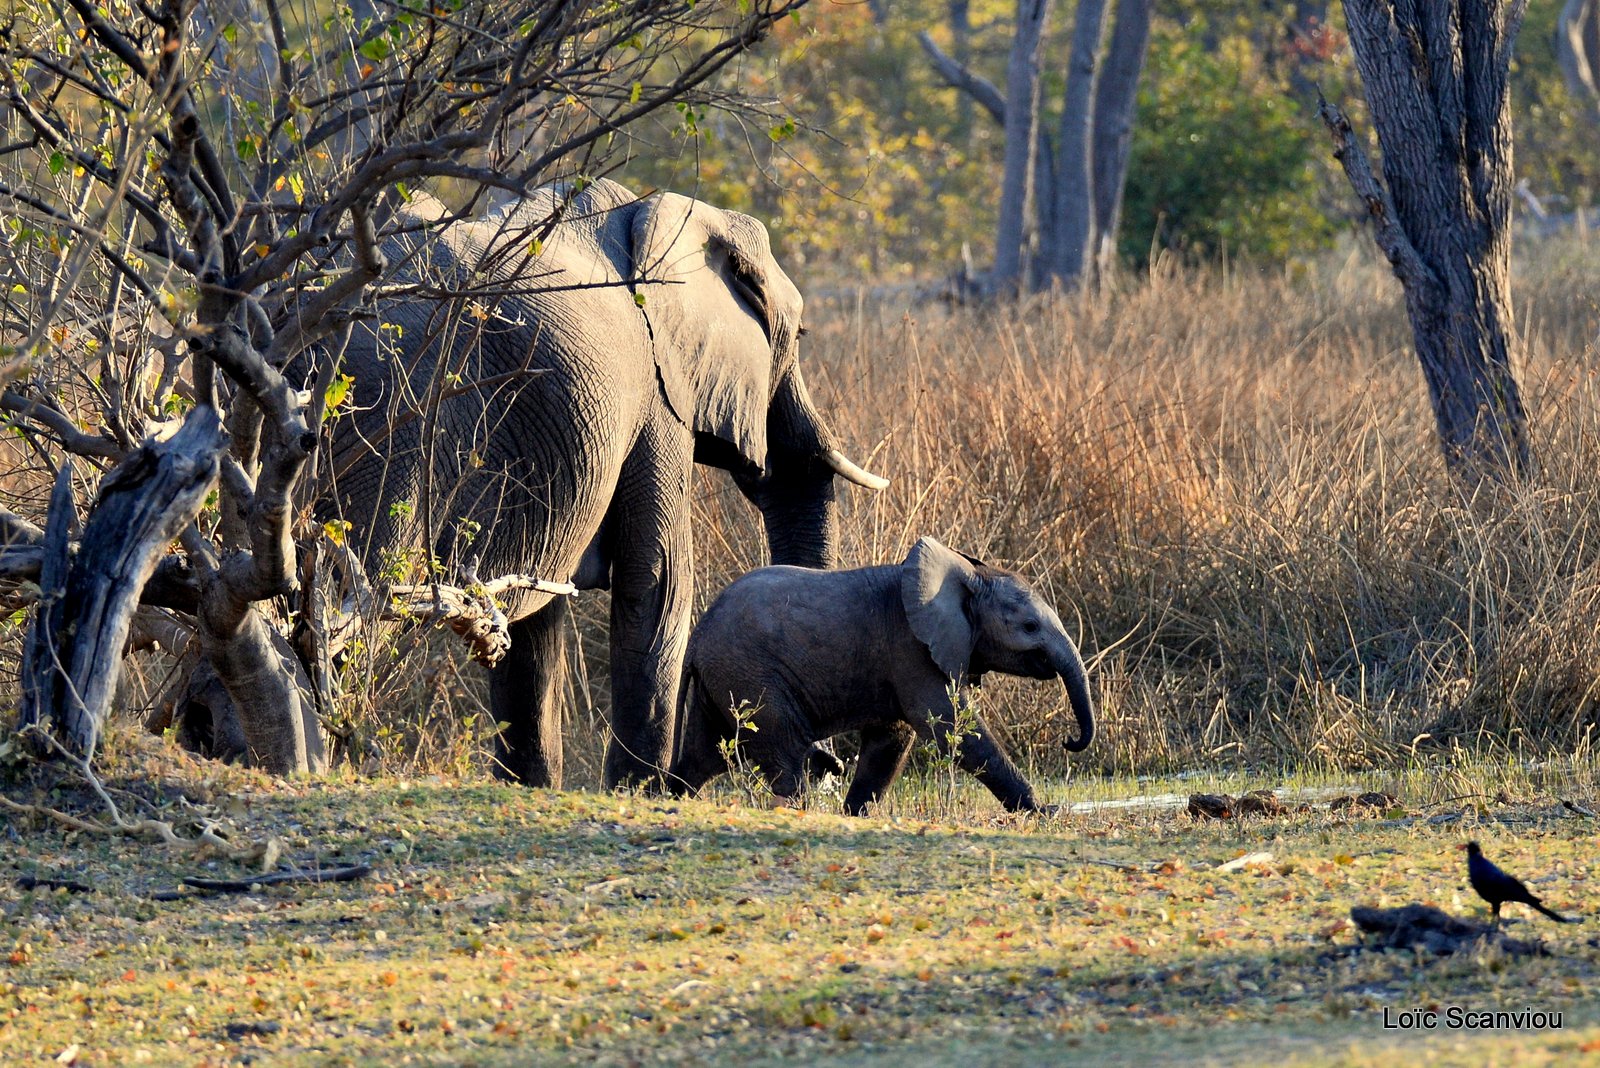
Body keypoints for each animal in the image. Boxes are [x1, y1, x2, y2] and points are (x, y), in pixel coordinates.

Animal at [320, 179, 883, 789]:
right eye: (799, 335)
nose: (828, 766)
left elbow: (533, 606)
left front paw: (533, 787)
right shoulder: (656, 395)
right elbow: (659, 579)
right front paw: (643, 791)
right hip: (389, 419)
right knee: (360, 594)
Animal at [668, 537, 1094, 812]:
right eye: (1029, 627)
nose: (1069, 741)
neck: (970, 576)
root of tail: (697, 638)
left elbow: (891, 741)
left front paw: (853, 816)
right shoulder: (911, 649)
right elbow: (950, 727)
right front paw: (1046, 811)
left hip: (723, 679)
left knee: (704, 754)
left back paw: (676, 798)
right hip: (751, 677)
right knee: (783, 756)